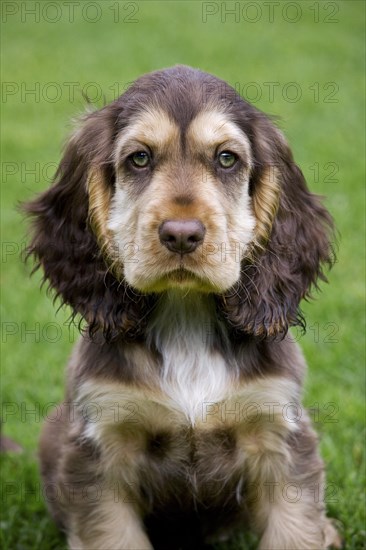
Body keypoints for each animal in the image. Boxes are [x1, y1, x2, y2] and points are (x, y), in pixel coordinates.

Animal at [25, 67, 340, 548]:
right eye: (139, 159)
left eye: (227, 159)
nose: (181, 235)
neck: (185, 314)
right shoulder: (100, 448)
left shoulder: (280, 433)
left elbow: (295, 530)